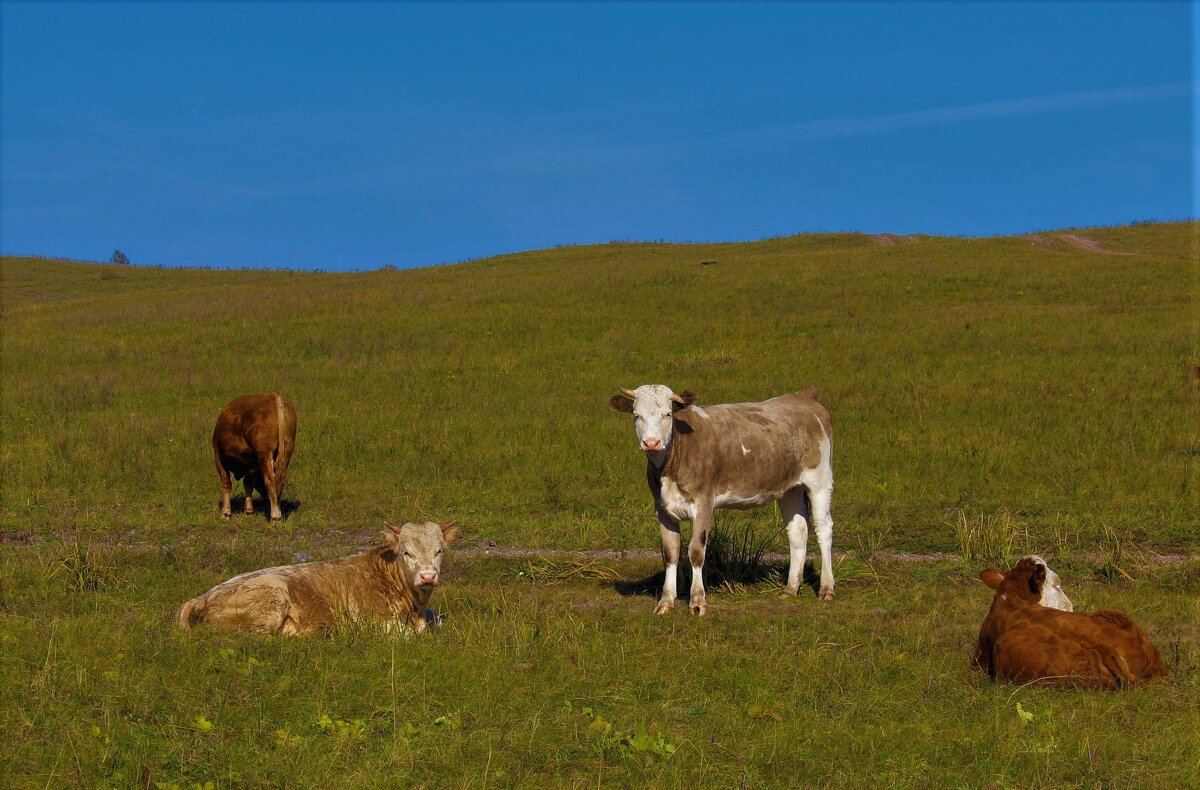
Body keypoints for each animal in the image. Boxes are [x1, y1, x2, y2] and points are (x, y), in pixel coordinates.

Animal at [177, 516, 458, 633]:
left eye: (439, 550)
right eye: (406, 552)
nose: (427, 577)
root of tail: (201, 597)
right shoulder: (373, 621)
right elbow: (410, 634)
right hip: (272, 600)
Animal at [212, 391, 296, 521]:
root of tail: (273, 396)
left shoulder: (219, 456)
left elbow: (226, 483)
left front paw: (225, 513)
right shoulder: (253, 464)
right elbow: (248, 483)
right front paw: (248, 510)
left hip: (264, 454)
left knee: (270, 480)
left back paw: (275, 516)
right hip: (286, 451)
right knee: (279, 480)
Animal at [609, 384, 835, 612]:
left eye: (668, 414)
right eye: (637, 415)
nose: (651, 443)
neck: (671, 465)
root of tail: (803, 395)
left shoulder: (703, 503)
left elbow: (696, 551)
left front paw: (697, 601)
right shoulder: (662, 508)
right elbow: (671, 552)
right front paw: (666, 601)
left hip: (820, 479)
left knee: (823, 528)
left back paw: (826, 588)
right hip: (790, 489)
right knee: (798, 530)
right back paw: (790, 588)